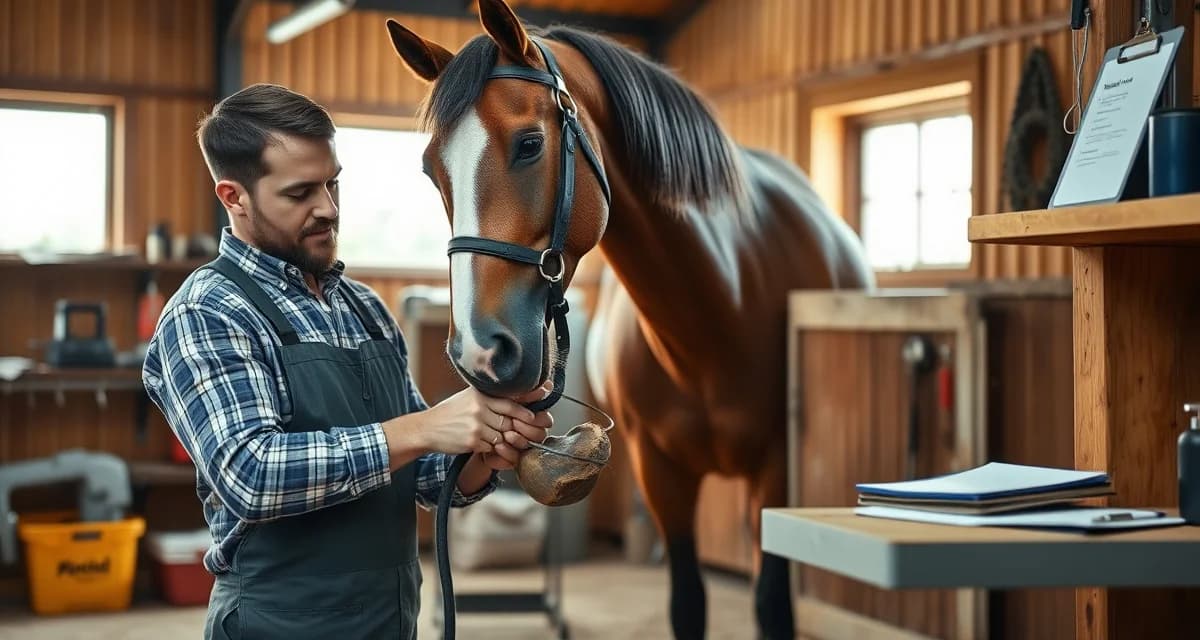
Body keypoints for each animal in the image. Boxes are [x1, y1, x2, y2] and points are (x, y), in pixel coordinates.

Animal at [385, 1, 874, 637]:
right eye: (430, 170)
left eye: (529, 144)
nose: (479, 352)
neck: (714, 317)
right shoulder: (659, 472)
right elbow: (687, 604)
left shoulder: (777, 467)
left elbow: (772, 604)